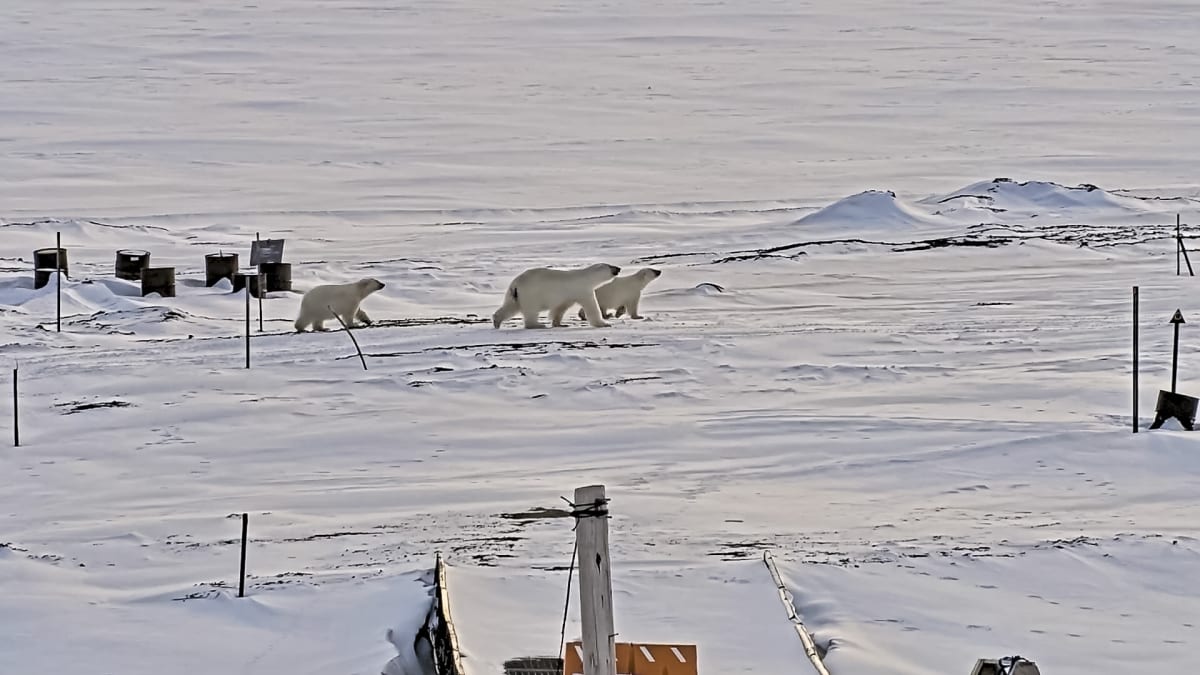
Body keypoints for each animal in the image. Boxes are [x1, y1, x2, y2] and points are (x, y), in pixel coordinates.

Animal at [492, 263, 621, 329]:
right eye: (610, 266)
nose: (619, 268)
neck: (586, 277)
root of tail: (516, 284)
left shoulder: (567, 296)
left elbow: (560, 308)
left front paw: (559, 324)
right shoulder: (582, 290)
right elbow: (592, 306)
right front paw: (604, 324)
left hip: (514, 295)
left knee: (510, 306)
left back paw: (496, 321)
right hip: (530, 293)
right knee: (531, 310)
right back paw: (537, 325)